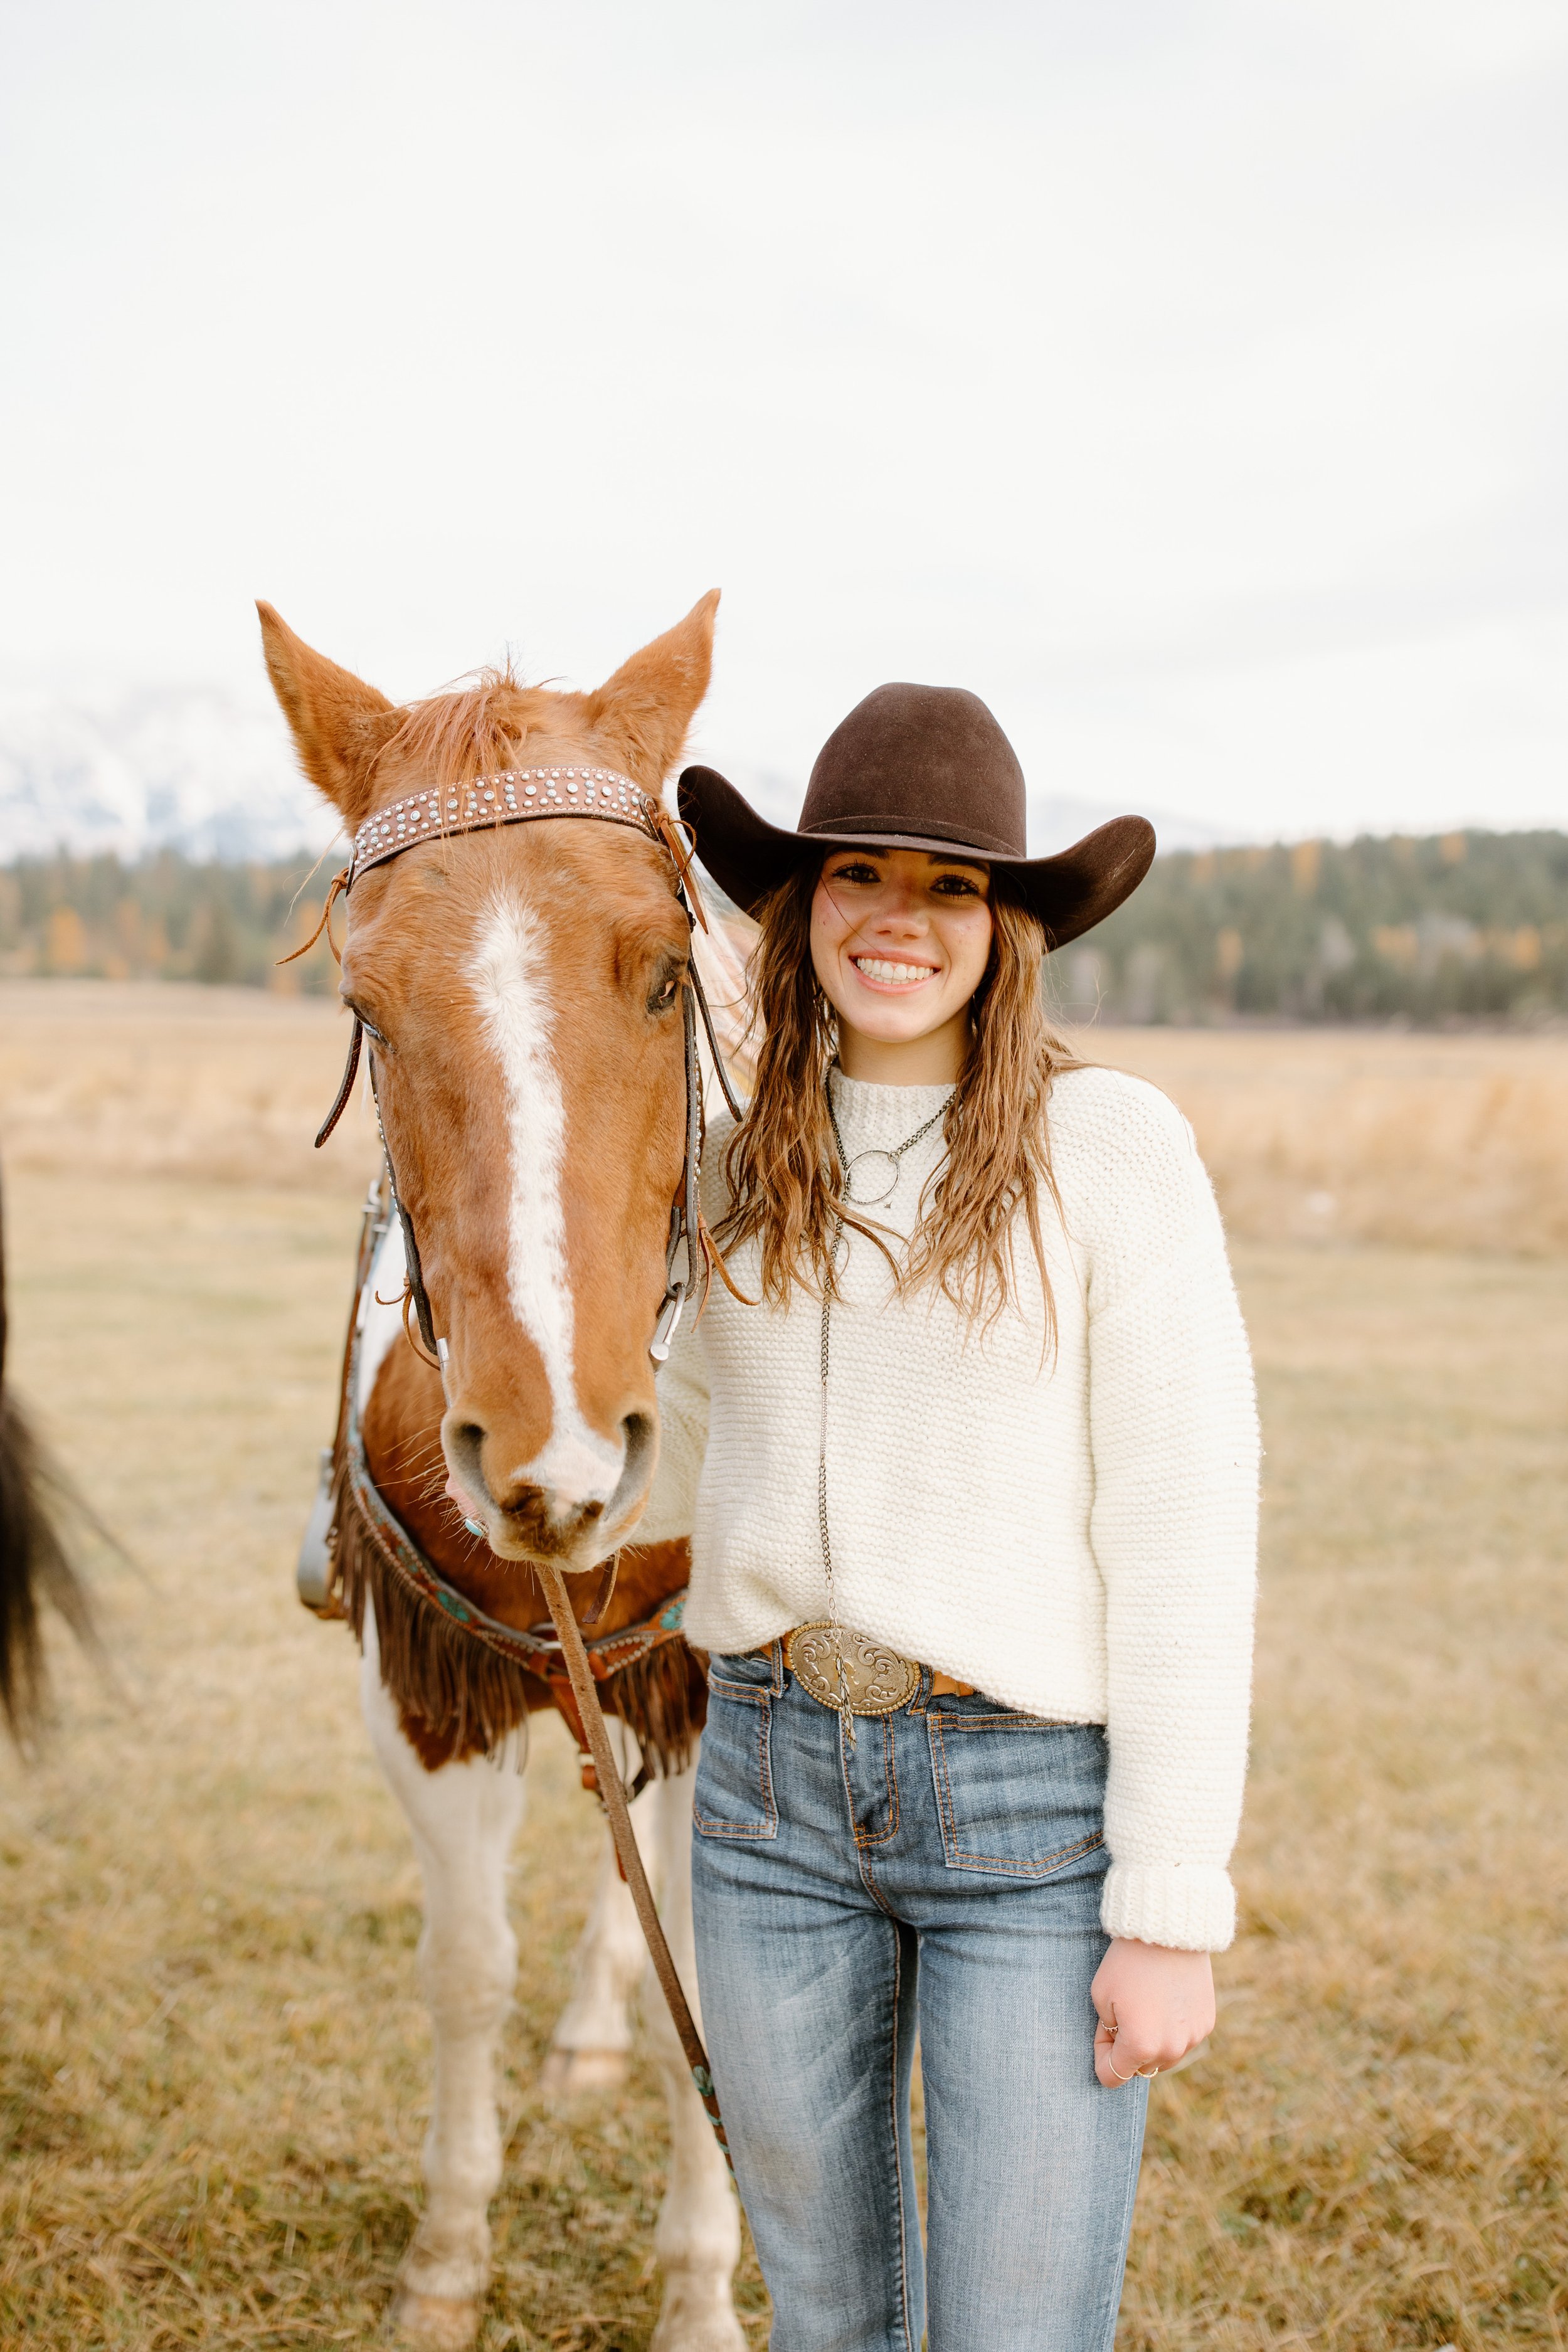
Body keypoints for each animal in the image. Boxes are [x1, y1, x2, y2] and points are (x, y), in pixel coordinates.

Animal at [261, 602, 752, 2352]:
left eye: (667, 972)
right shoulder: (429, 1690)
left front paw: (697, 2294)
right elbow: (464, 1963)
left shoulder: (711, 1697)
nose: (553, 1447)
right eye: (368, 1004)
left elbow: (709, 1988)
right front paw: (445, 2262)